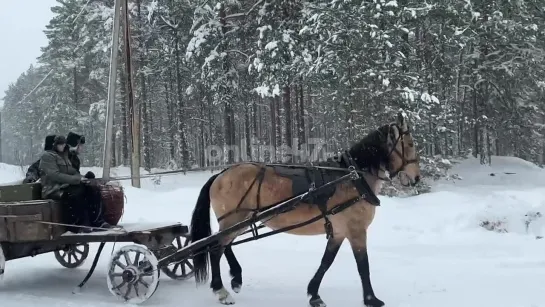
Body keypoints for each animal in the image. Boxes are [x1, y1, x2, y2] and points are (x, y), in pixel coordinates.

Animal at [189, 112, 422, 307]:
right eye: (410, 144)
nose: (417, 178)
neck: (353, 177)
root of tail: (220, 174)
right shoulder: (356, 231)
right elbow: (363, 266)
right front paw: (371, 299)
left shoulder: (339, 232)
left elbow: (326, 261)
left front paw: (314, 294)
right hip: (234, 220)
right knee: (216, 249)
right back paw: (221, 291)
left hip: (238, 221)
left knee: (224, 246)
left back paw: (236, 278)